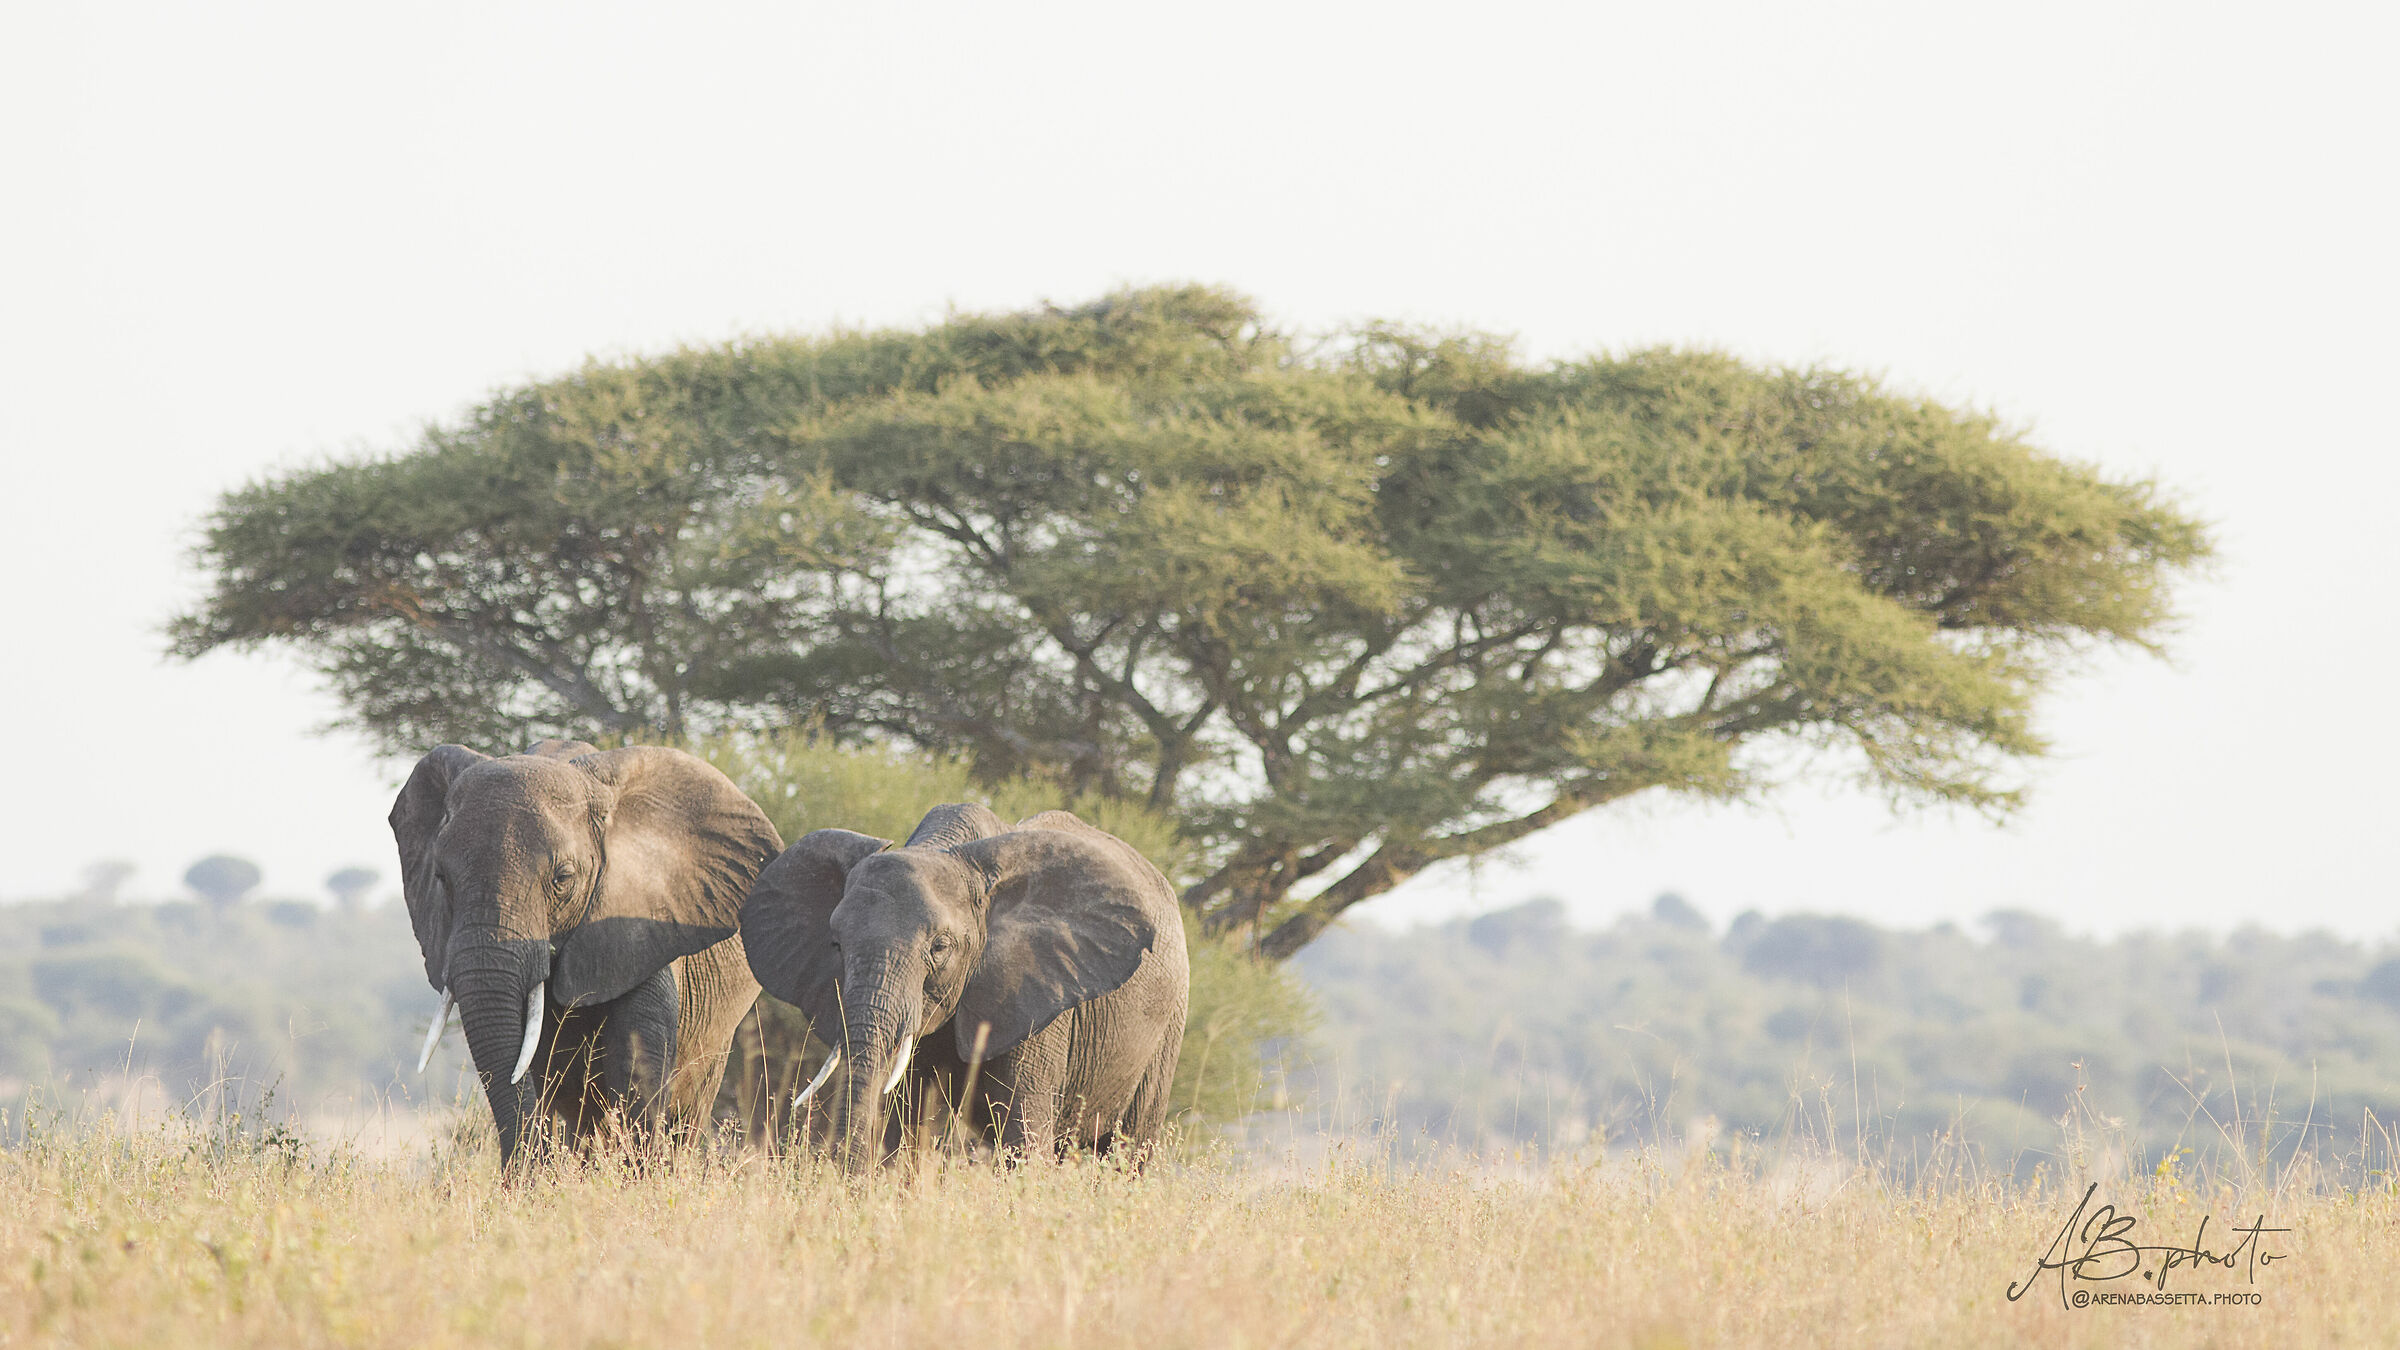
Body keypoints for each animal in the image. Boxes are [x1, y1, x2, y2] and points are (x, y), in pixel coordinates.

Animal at [740, 804, 1189, 1171]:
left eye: (940, 947)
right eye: (836, 944)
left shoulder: (1039, 998)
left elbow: (1023, 1131)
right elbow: (909, 1124)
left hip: (1167, 1031)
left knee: (1128, 1151)